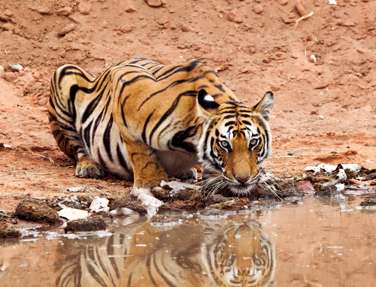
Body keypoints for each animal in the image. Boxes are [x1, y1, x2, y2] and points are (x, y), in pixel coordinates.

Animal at [49, 56, 274, 205]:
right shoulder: (128, 92)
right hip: (65, 73)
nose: (243, 179)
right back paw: (89, 166)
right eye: (224, 145)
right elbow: (143, 156)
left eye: (253, 142)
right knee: (77, 146)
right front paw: (152, 185)